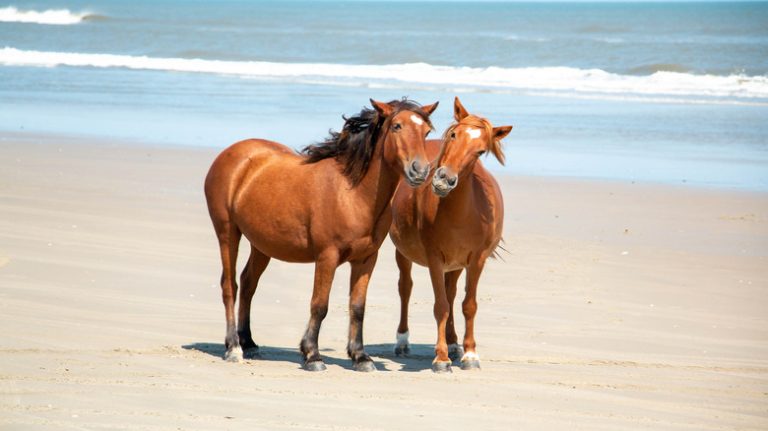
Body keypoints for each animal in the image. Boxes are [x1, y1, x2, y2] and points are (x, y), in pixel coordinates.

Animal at [204, 98, 438, 372]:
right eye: (397, 126)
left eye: (426, 132)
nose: (419, 171)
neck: (353, 193)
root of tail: (230, 154)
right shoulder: (327, 257)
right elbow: (319, 305)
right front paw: (312, 355)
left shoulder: (366, 260)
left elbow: (357, 307)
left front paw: (360, 357)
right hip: (227, 232)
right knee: (230, 285)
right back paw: (233, 347)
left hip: (261, 245)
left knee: (249, 284)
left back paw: (249, 342)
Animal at [390, 96, 510, 372]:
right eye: (454, 135)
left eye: (480, 151)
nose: (444, 179)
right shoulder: (434, 257)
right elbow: (440, 305)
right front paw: (441, 358)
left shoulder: (476, 260)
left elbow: (468, 305)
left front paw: (469, 354)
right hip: (403, 253)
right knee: (405, 288)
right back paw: (402, 341)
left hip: (455, 264)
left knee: (452, 291)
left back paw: (455, 343)